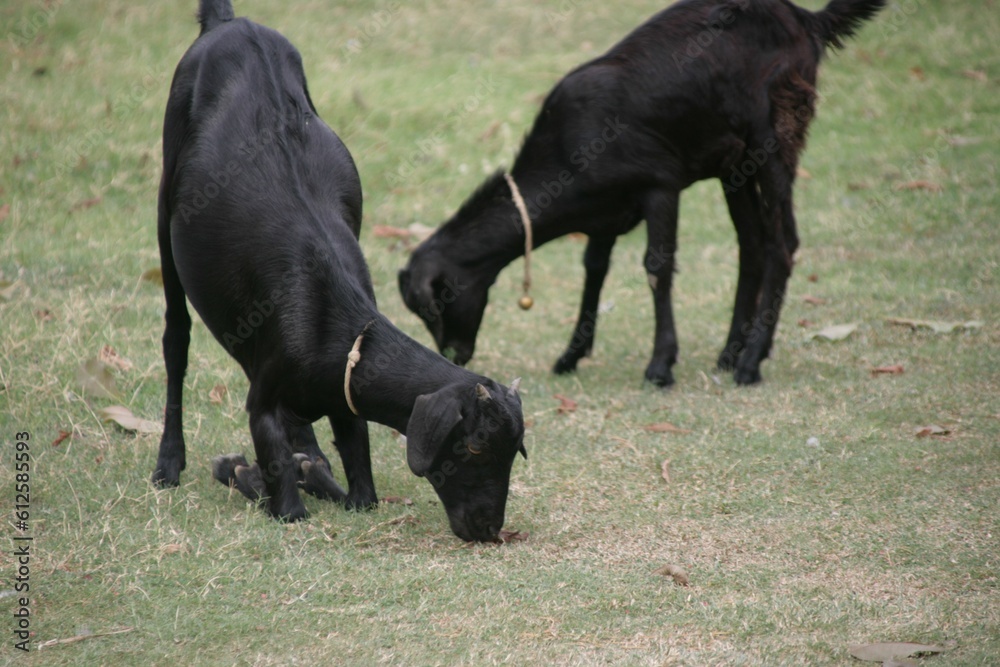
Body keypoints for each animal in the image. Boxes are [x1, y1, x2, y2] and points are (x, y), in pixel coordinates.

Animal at [152, 0, 528, 544]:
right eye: (475, 445)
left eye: (514, 452)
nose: (487, 528)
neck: (334, 327)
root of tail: (229, 23)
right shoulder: (264, 399)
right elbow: (286, 506)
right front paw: (242, 471)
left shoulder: (345, 398)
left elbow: (361, 496)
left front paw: (308, 468)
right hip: (166, 203)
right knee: (175, 339)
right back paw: (168, 463)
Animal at [398, 0, 884, 386]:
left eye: (438, 302)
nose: (454, 356)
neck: (568, 147)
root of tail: (806, 18)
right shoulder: (603, 212)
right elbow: (594, 268)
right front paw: (570, 355)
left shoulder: (660, 184)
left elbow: (657, 267)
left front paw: (660, 365)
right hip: (735, 166)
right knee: (753, 244)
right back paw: (730, 354)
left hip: (776, 133)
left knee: (783, 244)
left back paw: (750, 363)